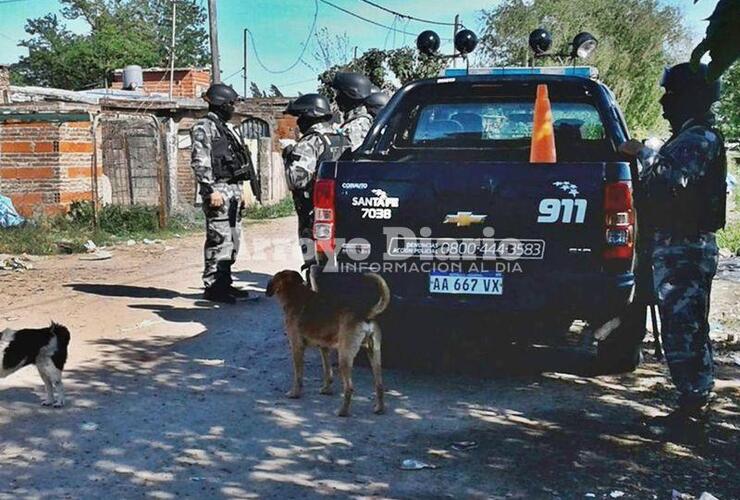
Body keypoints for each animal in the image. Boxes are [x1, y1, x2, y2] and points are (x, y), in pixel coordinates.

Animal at [268, 272, 394, 416]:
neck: (295, 292)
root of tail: (365, 315)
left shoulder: (297, 347)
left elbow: (298, 375)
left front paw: (295, 393)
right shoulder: (324, 348)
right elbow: (327, 371)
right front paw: (326, 390)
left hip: (344, 357)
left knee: (349, 388)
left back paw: (343, 411)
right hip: (374, 355)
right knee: (379, 385)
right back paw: (379, 408)